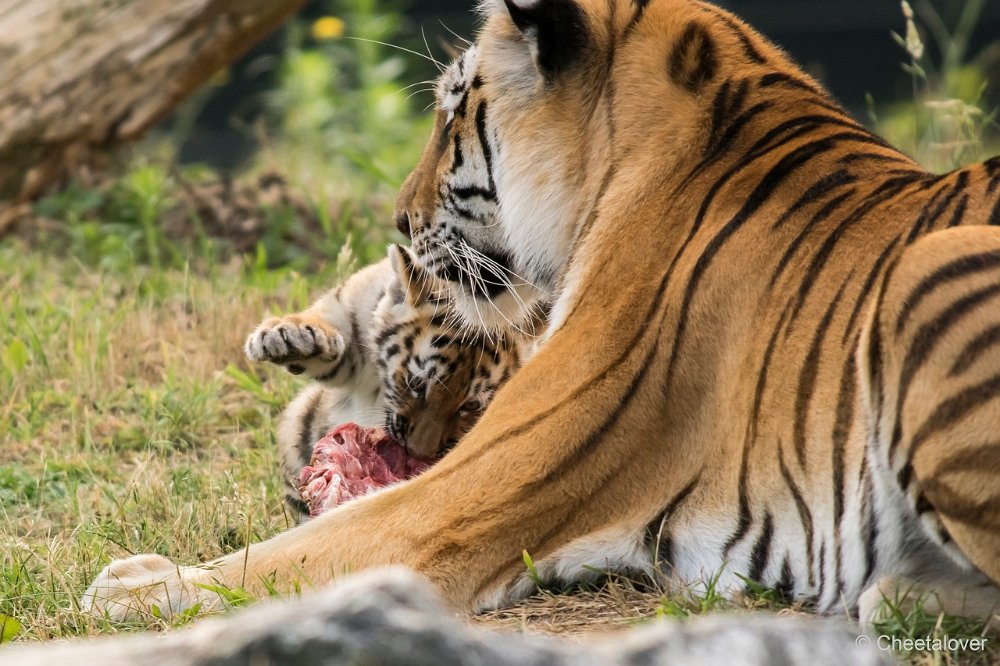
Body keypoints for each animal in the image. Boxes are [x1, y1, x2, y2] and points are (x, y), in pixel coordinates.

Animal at [86, 0, 1000, 624]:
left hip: (928, 269)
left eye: (452, 108)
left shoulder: (469, 491)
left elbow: (302, 550)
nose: (399, 219)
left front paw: (132, 585)